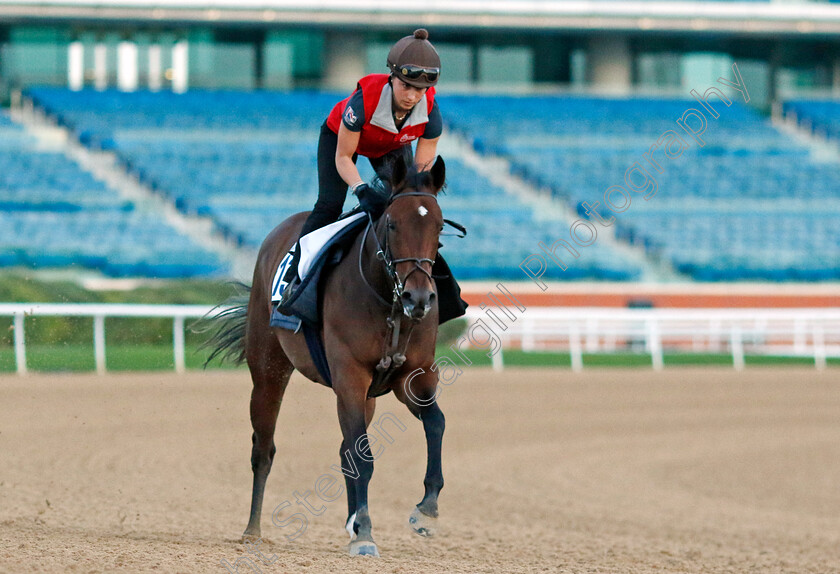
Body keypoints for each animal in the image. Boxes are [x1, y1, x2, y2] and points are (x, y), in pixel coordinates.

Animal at [203, 154, 450, 560]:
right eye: (393, 223)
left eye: (439, 226)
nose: (418, 298)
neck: (389, 304)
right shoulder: (350, 375)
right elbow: (362, 455)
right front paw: (365, 533)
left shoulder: (413, 375)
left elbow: (436, 424)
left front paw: (426, 511)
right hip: (268, 369)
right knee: (263, 447)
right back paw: (253, 530)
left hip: (365, 396)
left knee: (346, 449)